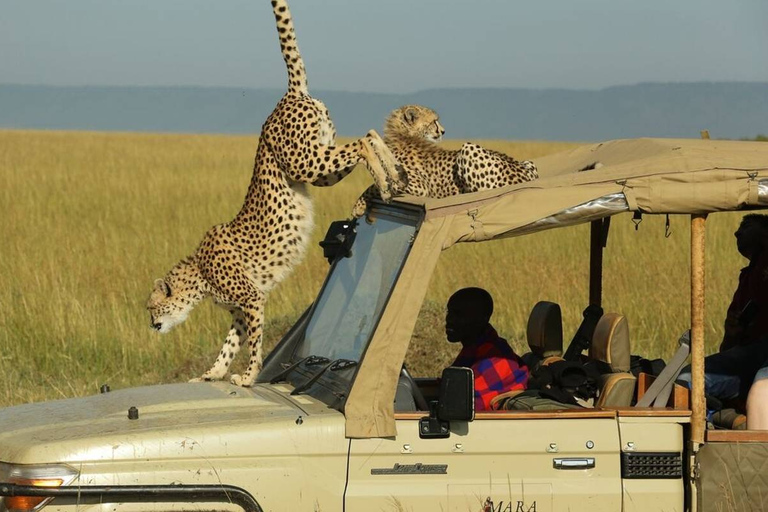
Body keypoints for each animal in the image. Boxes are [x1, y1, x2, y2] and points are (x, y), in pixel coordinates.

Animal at [147, 0, 404, 386]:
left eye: (152, 307)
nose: (151, 325)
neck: (199, 275)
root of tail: (288, 95)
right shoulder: (241, 309)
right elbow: (230, 344)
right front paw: (212, 374)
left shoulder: (252, 298)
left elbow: (254, 342)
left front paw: (249, 376)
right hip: (320, 163)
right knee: (371, 134)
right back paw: (394, 175)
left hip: (306, 162)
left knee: (362, 142)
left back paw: (386, 180)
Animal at [352, 104, 536, 216]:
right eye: (434, 121)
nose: (443, 131)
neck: (403, 135)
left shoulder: (419, 187)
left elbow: (377, 184)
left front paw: (358, 206)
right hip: (529, 163)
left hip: (468, 148)